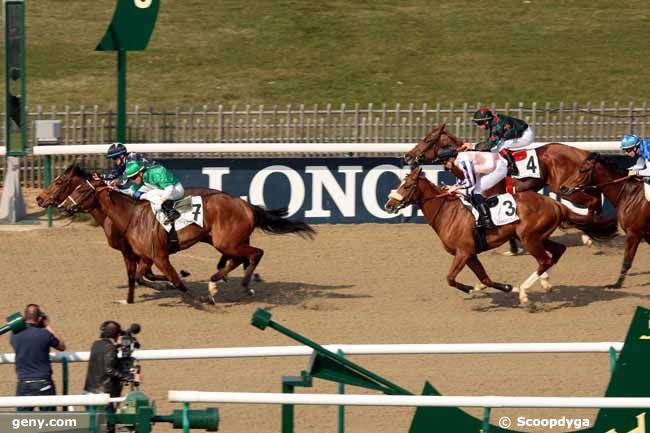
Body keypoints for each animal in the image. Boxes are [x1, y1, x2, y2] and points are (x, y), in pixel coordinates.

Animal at [55, 170, 314, 302]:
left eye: (80, 189)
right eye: (72, 187)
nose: (62, 206)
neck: (131, 215)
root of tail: (246, 205)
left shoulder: (157, 256)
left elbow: (169, 280)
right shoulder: (145, 256)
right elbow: (140, 277)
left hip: (228, 241)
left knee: (255, 254)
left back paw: (241, 285)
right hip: (226, 242)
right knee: (237, 259)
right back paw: (216, 283)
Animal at [382, 165, 616, 304]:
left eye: (407, 185)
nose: (389, 205)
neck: (448, 213)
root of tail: (555, 203)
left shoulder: (463, 252)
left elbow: (450, 278)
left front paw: (471, 288)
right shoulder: (470, 254)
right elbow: (485, 278)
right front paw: (502, 287)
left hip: (530, 238)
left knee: (544, 259)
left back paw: (524, 292)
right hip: (538, 236)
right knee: (556, 252)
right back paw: (544, 284)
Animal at [556, 154, 648, 288]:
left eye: (582, 170)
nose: (563, 187)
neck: (629, 194)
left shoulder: (634, 233)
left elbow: (627, 261)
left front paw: (616, 284)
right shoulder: (644, 234)